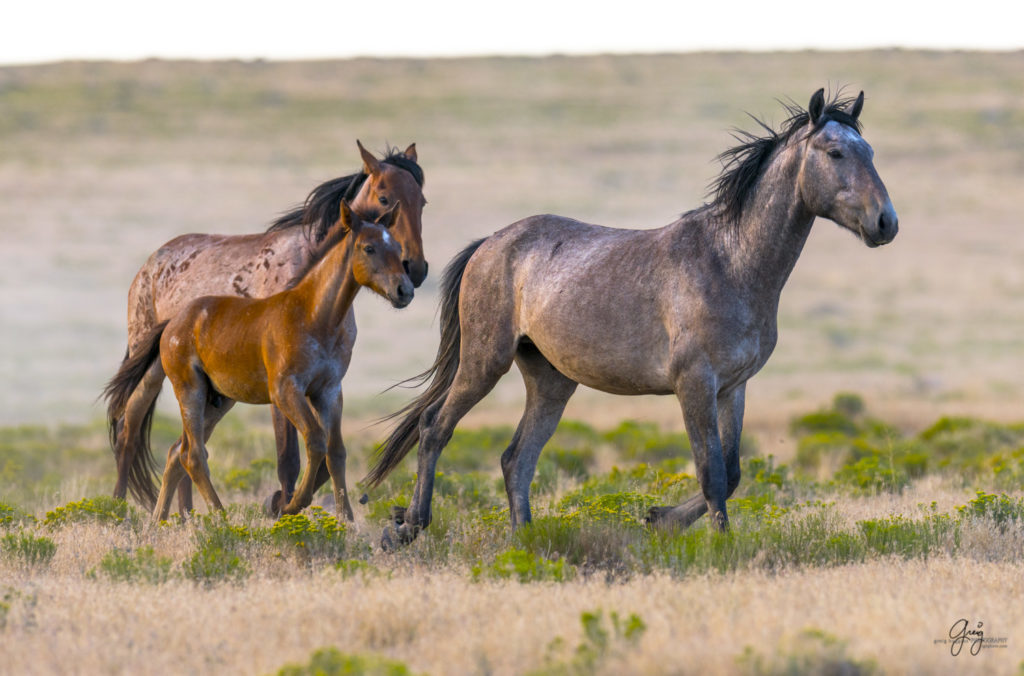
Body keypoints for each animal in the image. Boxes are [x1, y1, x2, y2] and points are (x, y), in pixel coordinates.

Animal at [103, 141, 423, 512]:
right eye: (384, 197)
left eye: (422, 200)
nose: (410, 280)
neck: (314, 311)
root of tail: (151, 264)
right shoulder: (284, 390)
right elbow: (300, 452)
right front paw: (288, 506)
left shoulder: (330, 390)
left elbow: (334, 452)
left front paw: (343, 516)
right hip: (169, 378)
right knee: (136, 431)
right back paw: (128, 509)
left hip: (216, 397)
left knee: (180, 450)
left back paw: (179, 516)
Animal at [366, 88, 897, 548]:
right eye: (835, 152)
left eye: (869, 150)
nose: (886, 222)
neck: (731, 261)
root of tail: (490, 243)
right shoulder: (695, 384)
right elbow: (712, 472)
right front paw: (718, 544)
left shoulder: (733, 387)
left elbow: (732, 471)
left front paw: (660, 519)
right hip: (484, 362)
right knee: (435, 427)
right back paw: (408, 527)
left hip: (551, 380)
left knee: (516, 459)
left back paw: (525, 541)